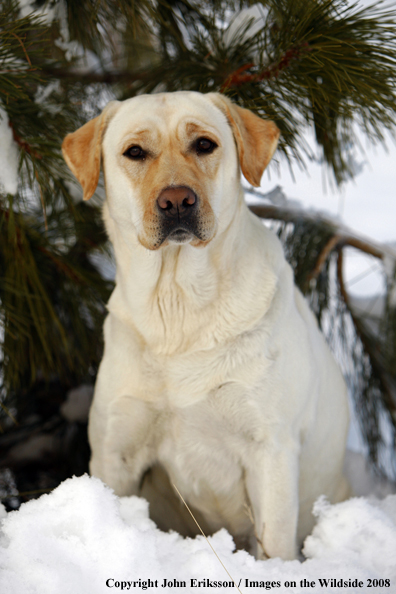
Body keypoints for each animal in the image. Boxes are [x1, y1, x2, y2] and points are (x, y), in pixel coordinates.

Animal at [62, 90, 350, 556]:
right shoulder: (115, 451)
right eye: (134, 152)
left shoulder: (270, 448)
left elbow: (274, 543)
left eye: (203, 145)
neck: (178, 310)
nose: (177, 200)